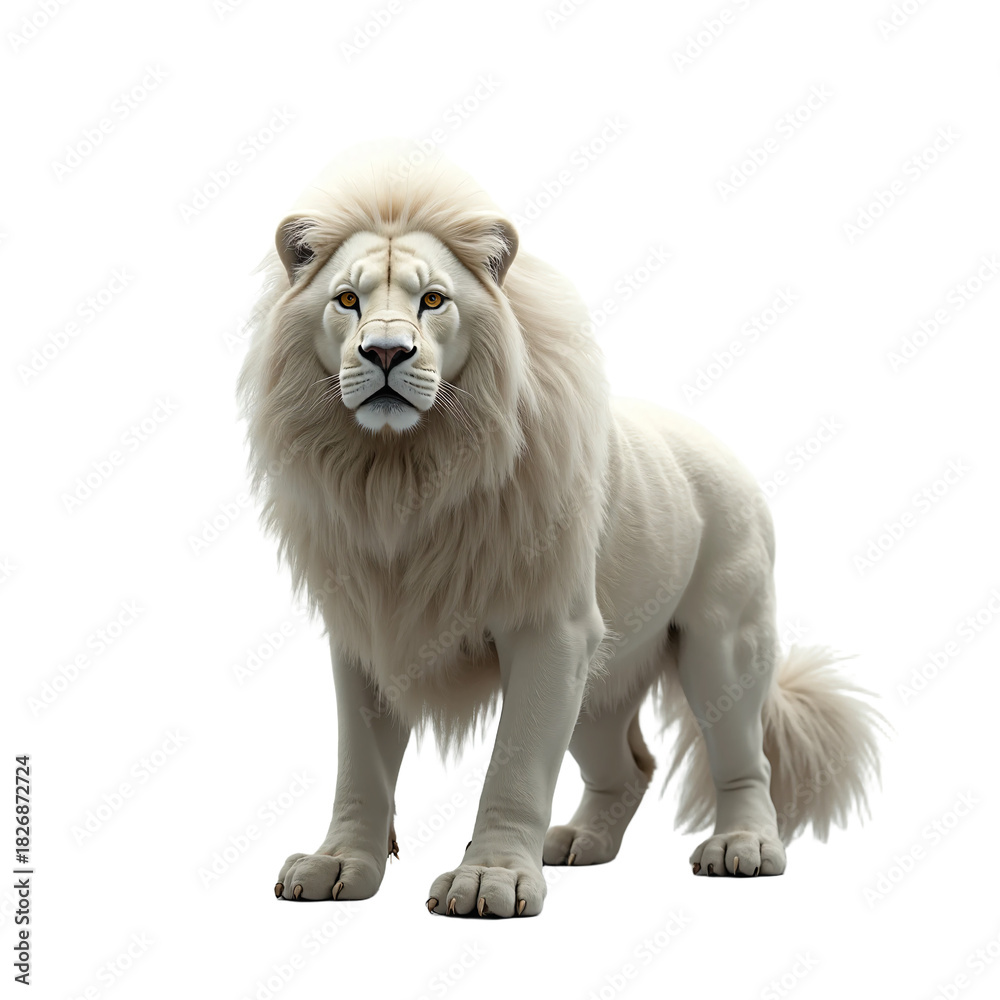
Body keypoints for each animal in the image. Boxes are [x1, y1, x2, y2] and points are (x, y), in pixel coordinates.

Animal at [236, 140, 886, 918]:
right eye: (346, 299)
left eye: (433, 299)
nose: (386, 353)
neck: (402, 477)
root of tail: (721, 450)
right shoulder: (368, 631)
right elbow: (359, 766)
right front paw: (338, 866)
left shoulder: (549, 628)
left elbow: (515, 764)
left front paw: (489, 880)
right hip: (603, 679)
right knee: (631, 765)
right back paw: (580, 842)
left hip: (724, 644)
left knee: (743, 756)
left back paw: (744, 848)